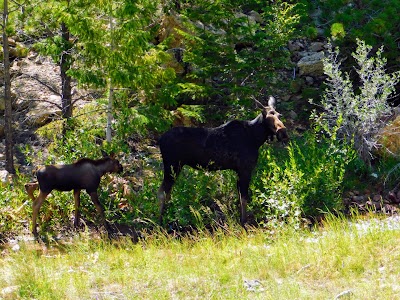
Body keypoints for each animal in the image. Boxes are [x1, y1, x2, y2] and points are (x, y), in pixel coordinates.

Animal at [158, 97, 290, 226]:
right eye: (267, 116)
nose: (283, 132)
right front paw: (243, 223)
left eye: (279, 115)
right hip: (172, 166)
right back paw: (160, 223)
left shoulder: (239, 170)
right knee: (162, 193)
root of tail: (160, 140)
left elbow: (240, 197)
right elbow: (244, 198)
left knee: (167, 192)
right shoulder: (245, 169)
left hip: (174, 168)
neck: (255, 138)